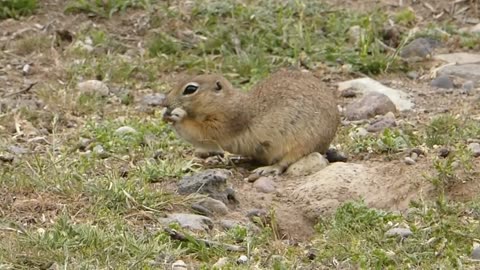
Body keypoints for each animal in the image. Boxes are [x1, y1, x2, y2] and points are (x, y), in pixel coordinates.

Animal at [162, 68, 342, 176]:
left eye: (190, 89)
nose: (164, 103)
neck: (226, 102)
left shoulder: (225, 123)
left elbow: (200, 133)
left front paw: (177, 116)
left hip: (301, 145)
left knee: (284, 163)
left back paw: (266, 169)